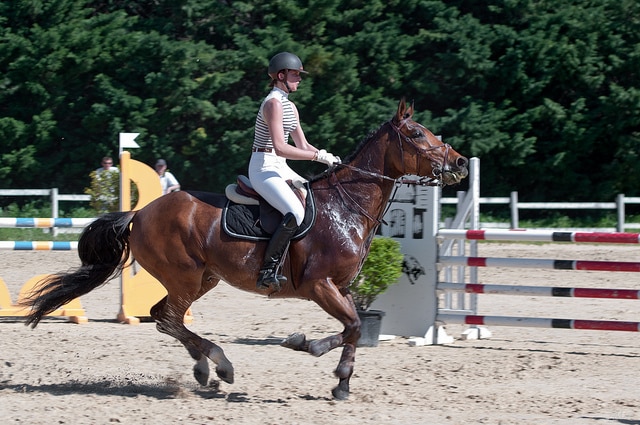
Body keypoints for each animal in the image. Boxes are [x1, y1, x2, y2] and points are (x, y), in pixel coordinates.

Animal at [22, 97, 468, 400]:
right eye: (416, 133)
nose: (461, 163)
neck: (346, 206)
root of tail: (140, 211)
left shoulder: (340, 288)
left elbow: (354, 326)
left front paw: (336, 377)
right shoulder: (319, 286)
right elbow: (353, 327)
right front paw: (311, 350)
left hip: (203, 278)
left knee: (165, 317)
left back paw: (205, 368)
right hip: (185, 277)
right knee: (169, 317)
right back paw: (220, 364)